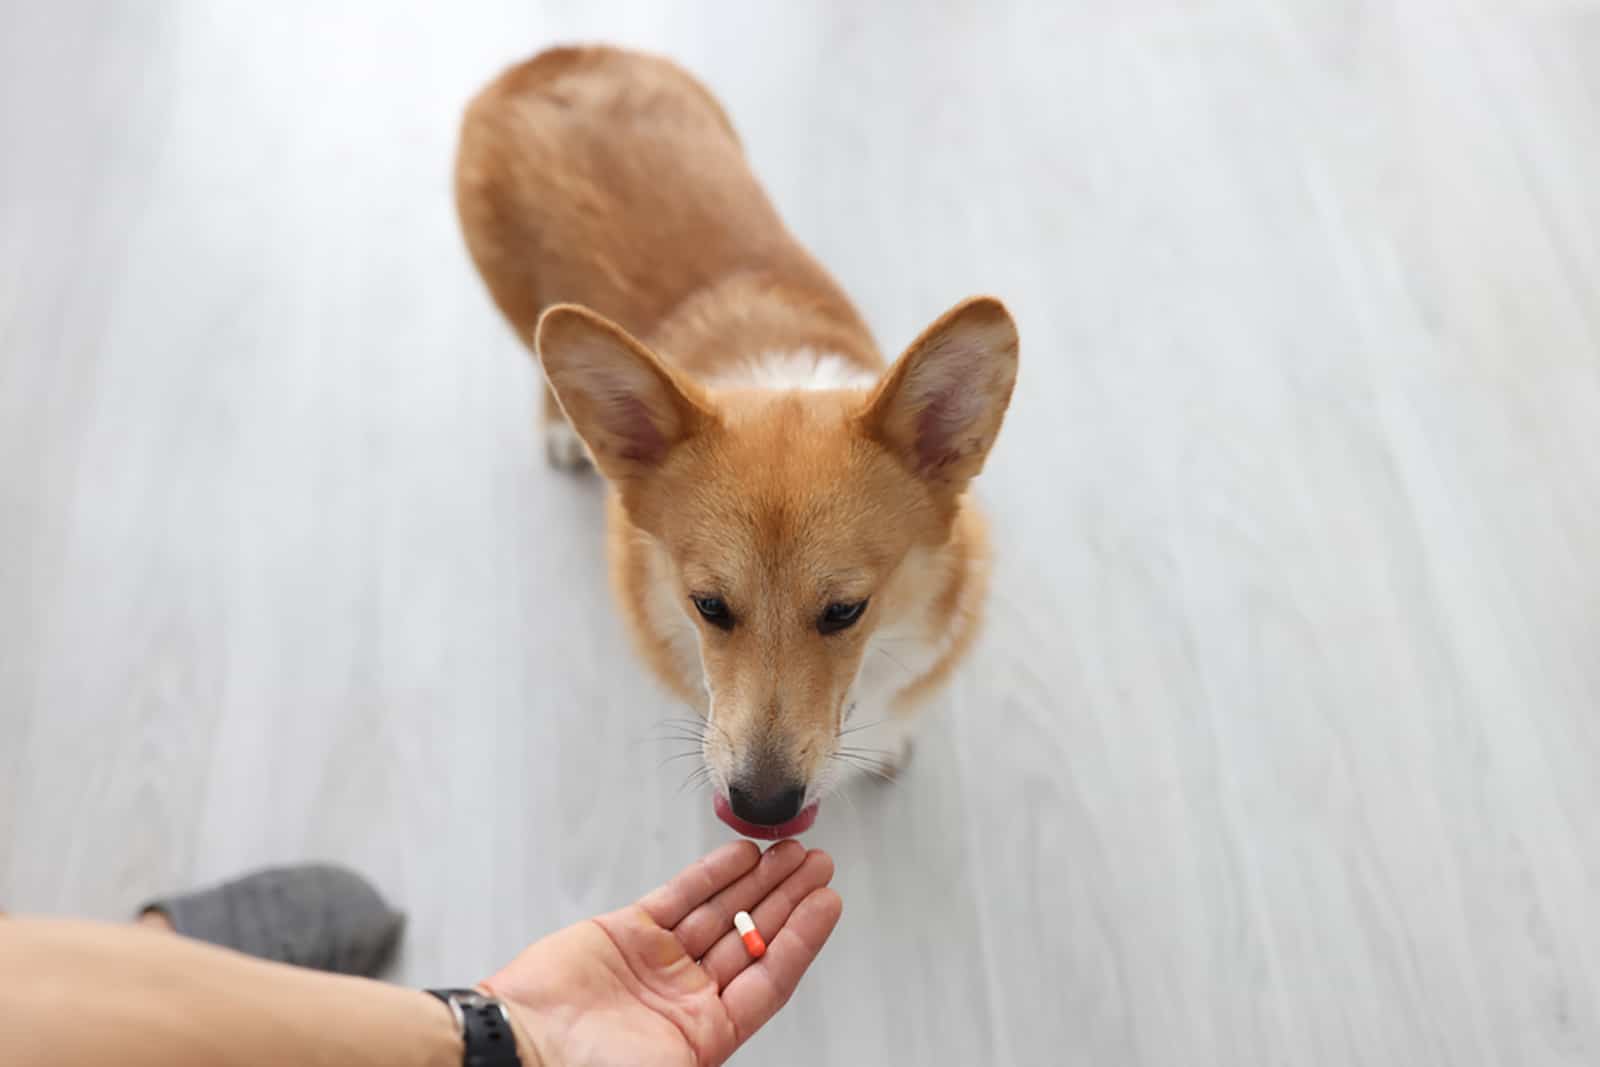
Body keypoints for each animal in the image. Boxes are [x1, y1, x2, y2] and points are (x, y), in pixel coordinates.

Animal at [457, 45, 1017, 838]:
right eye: (708, 606)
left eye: (845, 610)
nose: (761, 807)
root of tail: (548, 59)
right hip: (520, 305)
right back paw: (562, 428)